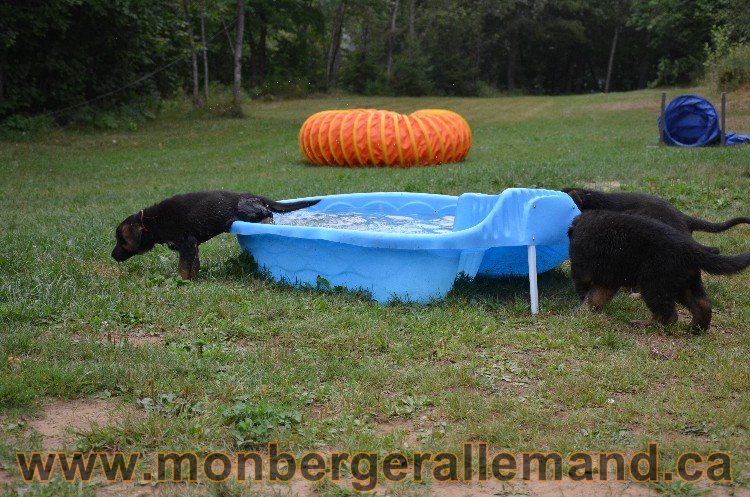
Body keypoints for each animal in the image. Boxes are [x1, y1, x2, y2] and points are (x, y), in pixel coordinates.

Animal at [112, 191, 320, 280]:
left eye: (121, 241)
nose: (112, 256)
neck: (151, 222)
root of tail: (252, 195)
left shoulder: (187, 242)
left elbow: (183, 268)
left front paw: (180, 282)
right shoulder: (192, 245)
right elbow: (194, 264)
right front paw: (194, 278)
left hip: (244, 209)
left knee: (267, 212)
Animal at [568, 208, 750, 330]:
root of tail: (687, 247)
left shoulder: (583, 271)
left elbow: (588, 293)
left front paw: (579, 312)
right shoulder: (608, 279)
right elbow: (596, 297)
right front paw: (584, 312)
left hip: (653, 284)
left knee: (670, 315)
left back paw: (645, 325)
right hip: (683, 283)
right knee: (703, 305)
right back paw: (696, 329)